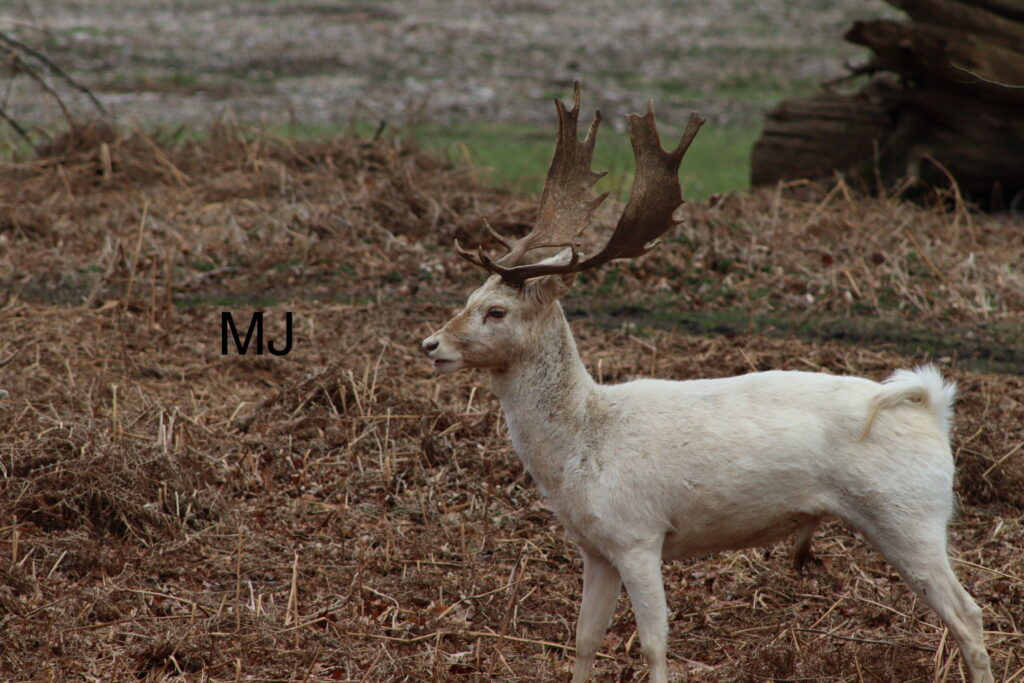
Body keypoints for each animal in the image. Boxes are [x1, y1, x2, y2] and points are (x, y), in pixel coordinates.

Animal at [421, 85, 994, 683]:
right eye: (469, 296)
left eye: (497, 311)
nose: (431, 345)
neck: (582, 446)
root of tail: (933, 410)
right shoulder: (596, 547)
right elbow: (583, 640)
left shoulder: (639, 534)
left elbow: (654, 643)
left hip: (911, 515)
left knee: (969, 613)